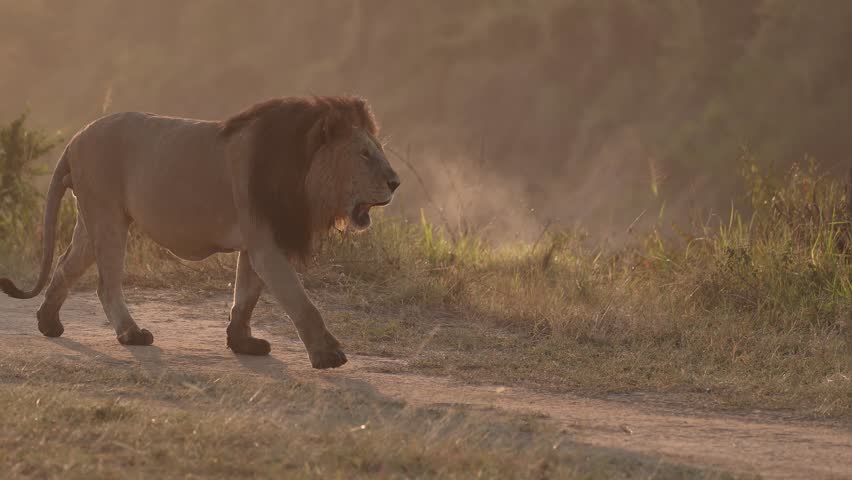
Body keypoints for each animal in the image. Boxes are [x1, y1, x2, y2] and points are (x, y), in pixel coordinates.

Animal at [0, 96, 400, 369]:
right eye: (364, 154)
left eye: (378, 150)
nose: (396, 182)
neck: (304, 173)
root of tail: (76, 138)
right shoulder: (267, 245)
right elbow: (301, 303)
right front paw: (328, 355)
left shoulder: (256, 243)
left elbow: (246, 297)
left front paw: (242, 342)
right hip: (109, 218)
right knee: (105, 284)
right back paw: (131, 333)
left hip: (92, 220)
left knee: (65, 266)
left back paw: (48, 323)